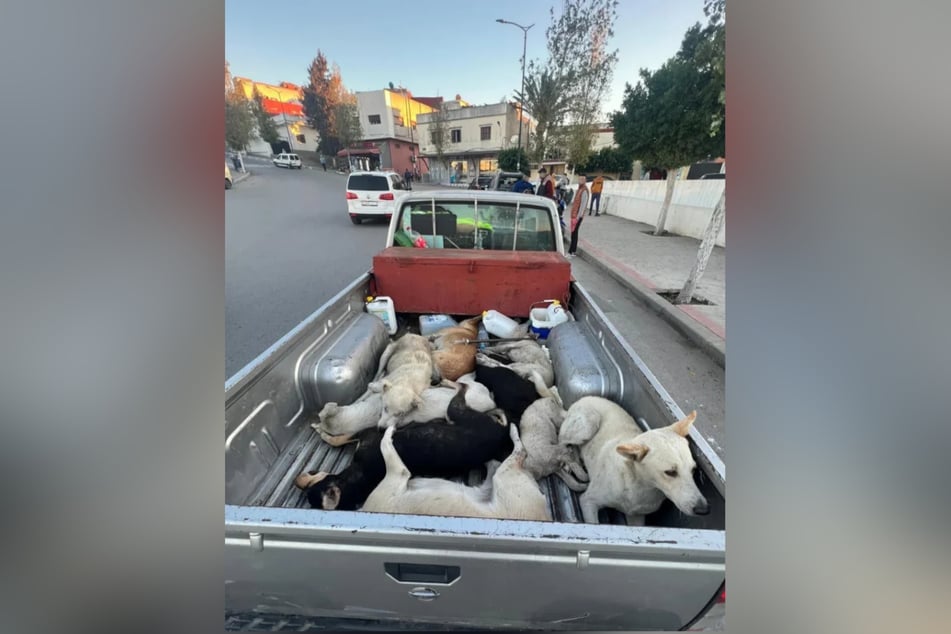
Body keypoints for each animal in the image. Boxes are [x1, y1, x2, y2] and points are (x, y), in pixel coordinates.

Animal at [294, 380, 512, 508]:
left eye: (312, 484)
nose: (297, 480)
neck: (360, 476)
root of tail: (500, 431)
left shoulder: (367, 435)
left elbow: (337, 439)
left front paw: (321, 430)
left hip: (455, 411)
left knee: (462, 389)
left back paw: (448, 382)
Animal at [360, 420, 552, 520]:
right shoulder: (397, 474)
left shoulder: (397, 473)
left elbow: (384, 443)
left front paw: (390, 428)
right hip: (497, 479)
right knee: (499, 463)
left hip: (504, 477)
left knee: (521, 451)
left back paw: (512, 429)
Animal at [556, 396, 708, 524]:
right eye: (670, 472)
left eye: (693, 470)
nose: (704, 510)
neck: (640, 486)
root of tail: (582, 399)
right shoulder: (588, 501)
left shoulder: (637, 517)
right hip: (589, 424)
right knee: (561, 441)